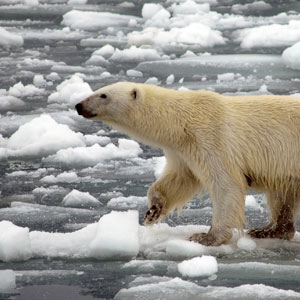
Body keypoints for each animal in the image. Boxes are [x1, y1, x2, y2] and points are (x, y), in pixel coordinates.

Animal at [75, 82, 300, 246]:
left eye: (103, 95)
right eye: (97, 90)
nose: (79, 106)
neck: (182, 121)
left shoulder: (212, 139)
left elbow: (226, 184)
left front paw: (206, 237)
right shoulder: (182, 151)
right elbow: (180, 179)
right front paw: (153, 210)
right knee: (281, 193)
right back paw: (268, 230)